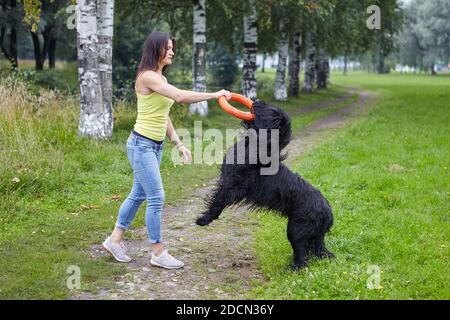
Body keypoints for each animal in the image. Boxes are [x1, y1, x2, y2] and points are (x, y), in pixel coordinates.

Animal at [196, 100, 334, 270]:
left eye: (268, 109)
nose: (256, 101)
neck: (257, 145)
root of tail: (327, 212)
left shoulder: (233, 187)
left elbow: (217, 202)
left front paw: (204, 219)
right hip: (315, 235)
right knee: (320, 251)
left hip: (296, 230)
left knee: (303, 256)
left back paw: (292, 268)